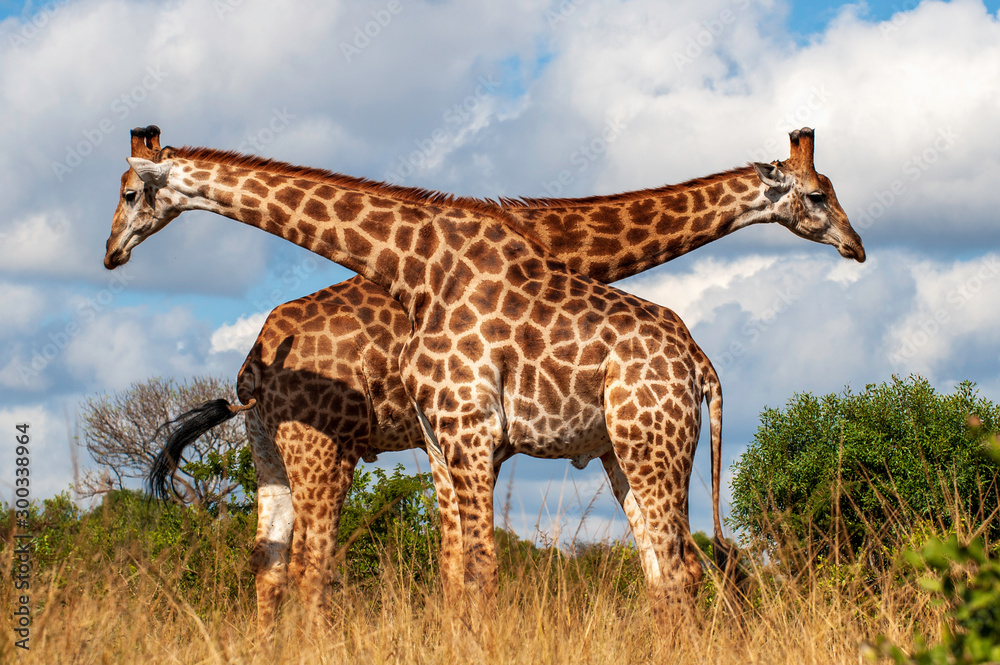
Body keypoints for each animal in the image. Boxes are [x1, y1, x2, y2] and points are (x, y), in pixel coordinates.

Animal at [111, 126, 862, 630]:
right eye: (818, 194)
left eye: (128, 191)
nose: (855, 246)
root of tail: (250, 364)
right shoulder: (455, 439)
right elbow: (468, 568)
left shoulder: (465, 439)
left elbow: (466, 569)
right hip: (316, 448)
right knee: (296, 568)